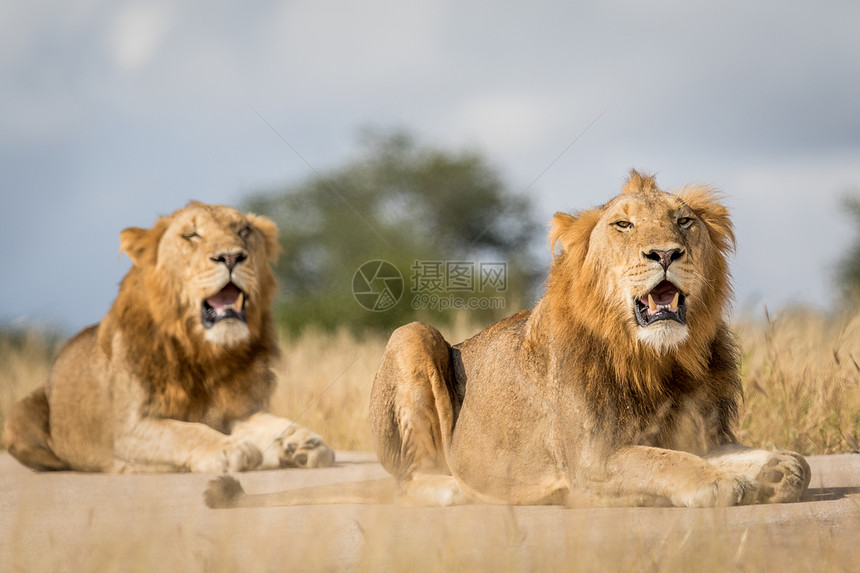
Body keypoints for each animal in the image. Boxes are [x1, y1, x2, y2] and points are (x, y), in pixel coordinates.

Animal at [6, 203, 336, 472]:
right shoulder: (126, 429)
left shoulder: (238, 409)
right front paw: (228, 448)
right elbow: (184, 431)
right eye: (192, 235)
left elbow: (272, 423)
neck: (205, 352)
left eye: (243, 231)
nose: (232, 256)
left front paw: (303, 443)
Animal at [205, 172, 808, 508]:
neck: (658, 359)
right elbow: (661, 461)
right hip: (412, 336)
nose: (665, 253)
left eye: (684, 222)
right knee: (413, 479)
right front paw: (719, 482)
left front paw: (776, 471)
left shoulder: (703, 431)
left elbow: (780, 458)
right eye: (623, 226)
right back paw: (458, 491)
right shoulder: (590, 458)